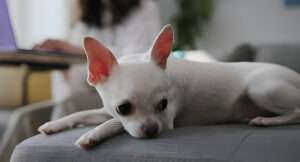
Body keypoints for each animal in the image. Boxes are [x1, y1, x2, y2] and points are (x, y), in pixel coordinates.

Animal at [38, 25, 300, 148]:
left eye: (163, 105)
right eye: (124, 108)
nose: (153, 129)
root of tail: (296, 75)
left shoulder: (167, 120)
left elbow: (111, 123)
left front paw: (91, 135)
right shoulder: (108, 111)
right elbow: (87, 113)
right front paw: (55, 124)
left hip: (260, 87)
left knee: (297, 112)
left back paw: (267, 120)